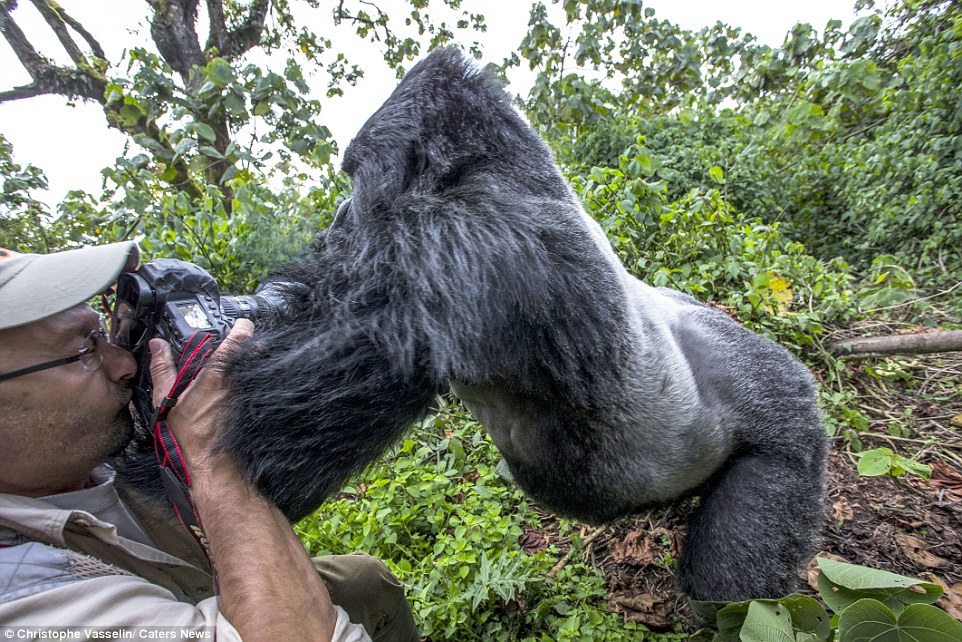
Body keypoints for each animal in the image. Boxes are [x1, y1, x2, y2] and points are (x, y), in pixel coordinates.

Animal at [139, 46, 828, 600]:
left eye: (355, 176)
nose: (334, 222)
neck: (495, 173)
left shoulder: (472, 247)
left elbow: (267, 444)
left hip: (780, 410)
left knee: (741, 560)